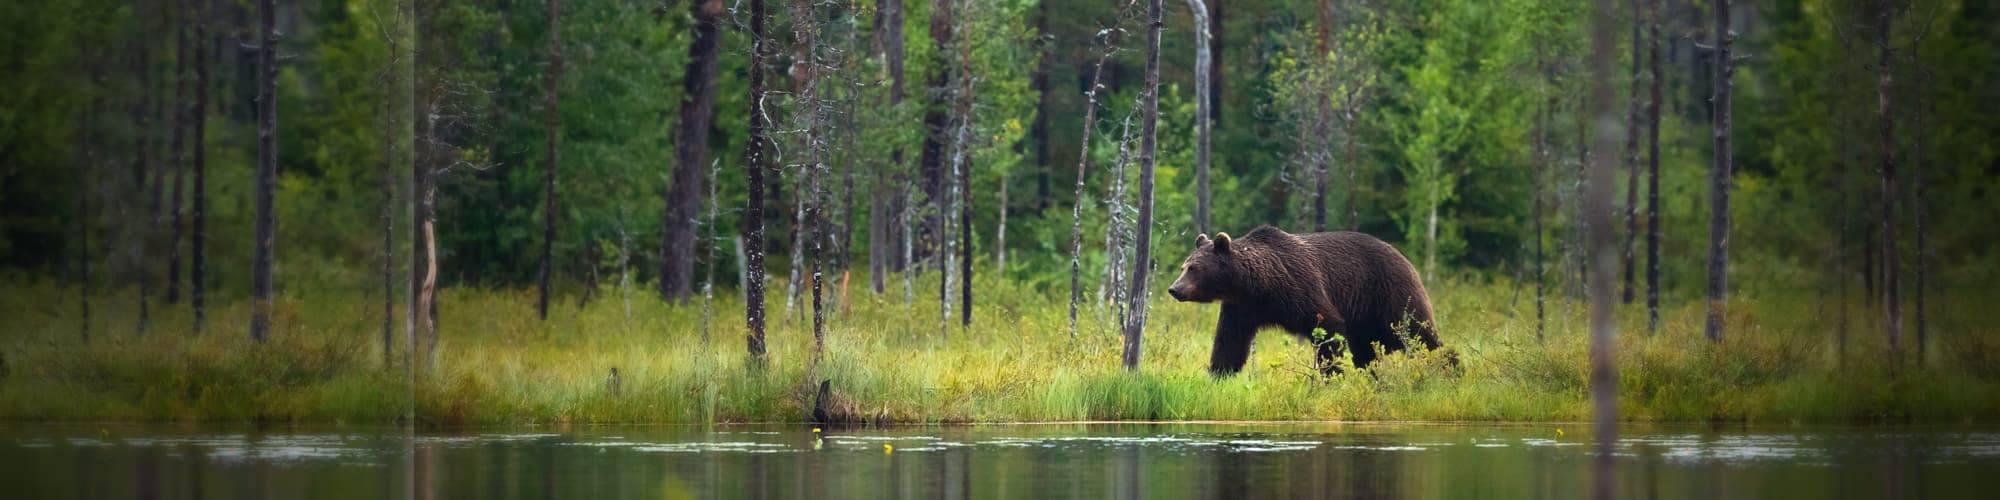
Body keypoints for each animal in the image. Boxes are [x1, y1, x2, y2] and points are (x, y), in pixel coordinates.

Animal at [1168, 227, 1448, 376]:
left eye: (1193, 268)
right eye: (1184, 266)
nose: (1174, 289)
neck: (1258, 284)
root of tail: (1405, 258)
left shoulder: (1299, 287)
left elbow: (1327, 328)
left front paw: (1332, 373)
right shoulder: (1242, 308)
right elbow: (1229, 343)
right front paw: (1218, 375)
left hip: (1389, 294)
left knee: (1417, 334)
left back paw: (1448, 367)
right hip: (1364, 318)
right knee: (1367, 351)